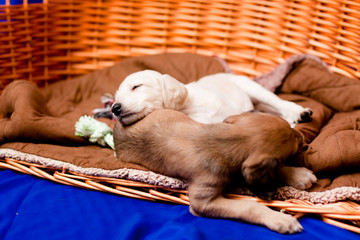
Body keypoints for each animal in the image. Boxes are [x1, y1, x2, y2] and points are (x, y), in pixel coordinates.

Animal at [112, 70, 312, 127]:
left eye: (136, 87)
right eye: (116, 97)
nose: (114, 108)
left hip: (252, 87)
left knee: (279, 103)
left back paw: (299, 113)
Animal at [113, 109, 316, 233]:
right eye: (294, 145)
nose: (303, 139)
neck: (225, 141)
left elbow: (275, 169)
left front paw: (299, 175)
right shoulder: (203, 202)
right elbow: (250, 206)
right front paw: (280, 219)